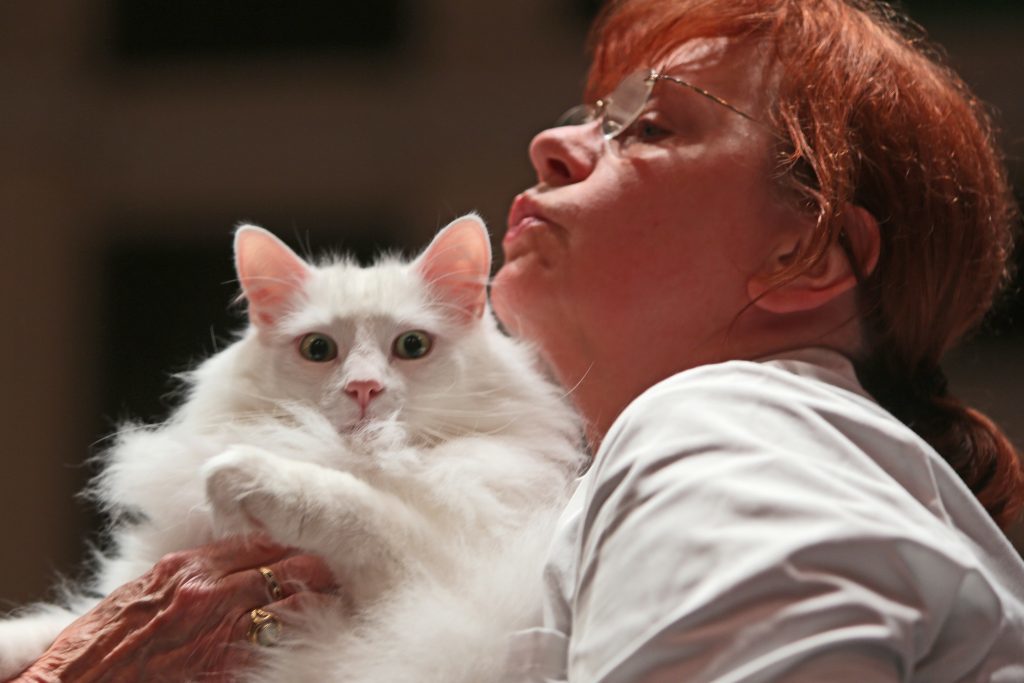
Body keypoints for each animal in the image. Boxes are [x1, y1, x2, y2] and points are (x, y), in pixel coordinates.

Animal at [0, 216, 585, 679]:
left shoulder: (437, 584)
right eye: (318, 349)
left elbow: (351, 506)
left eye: (412, 346)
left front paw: (239, 473)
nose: (363, 388)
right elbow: (55, 628)